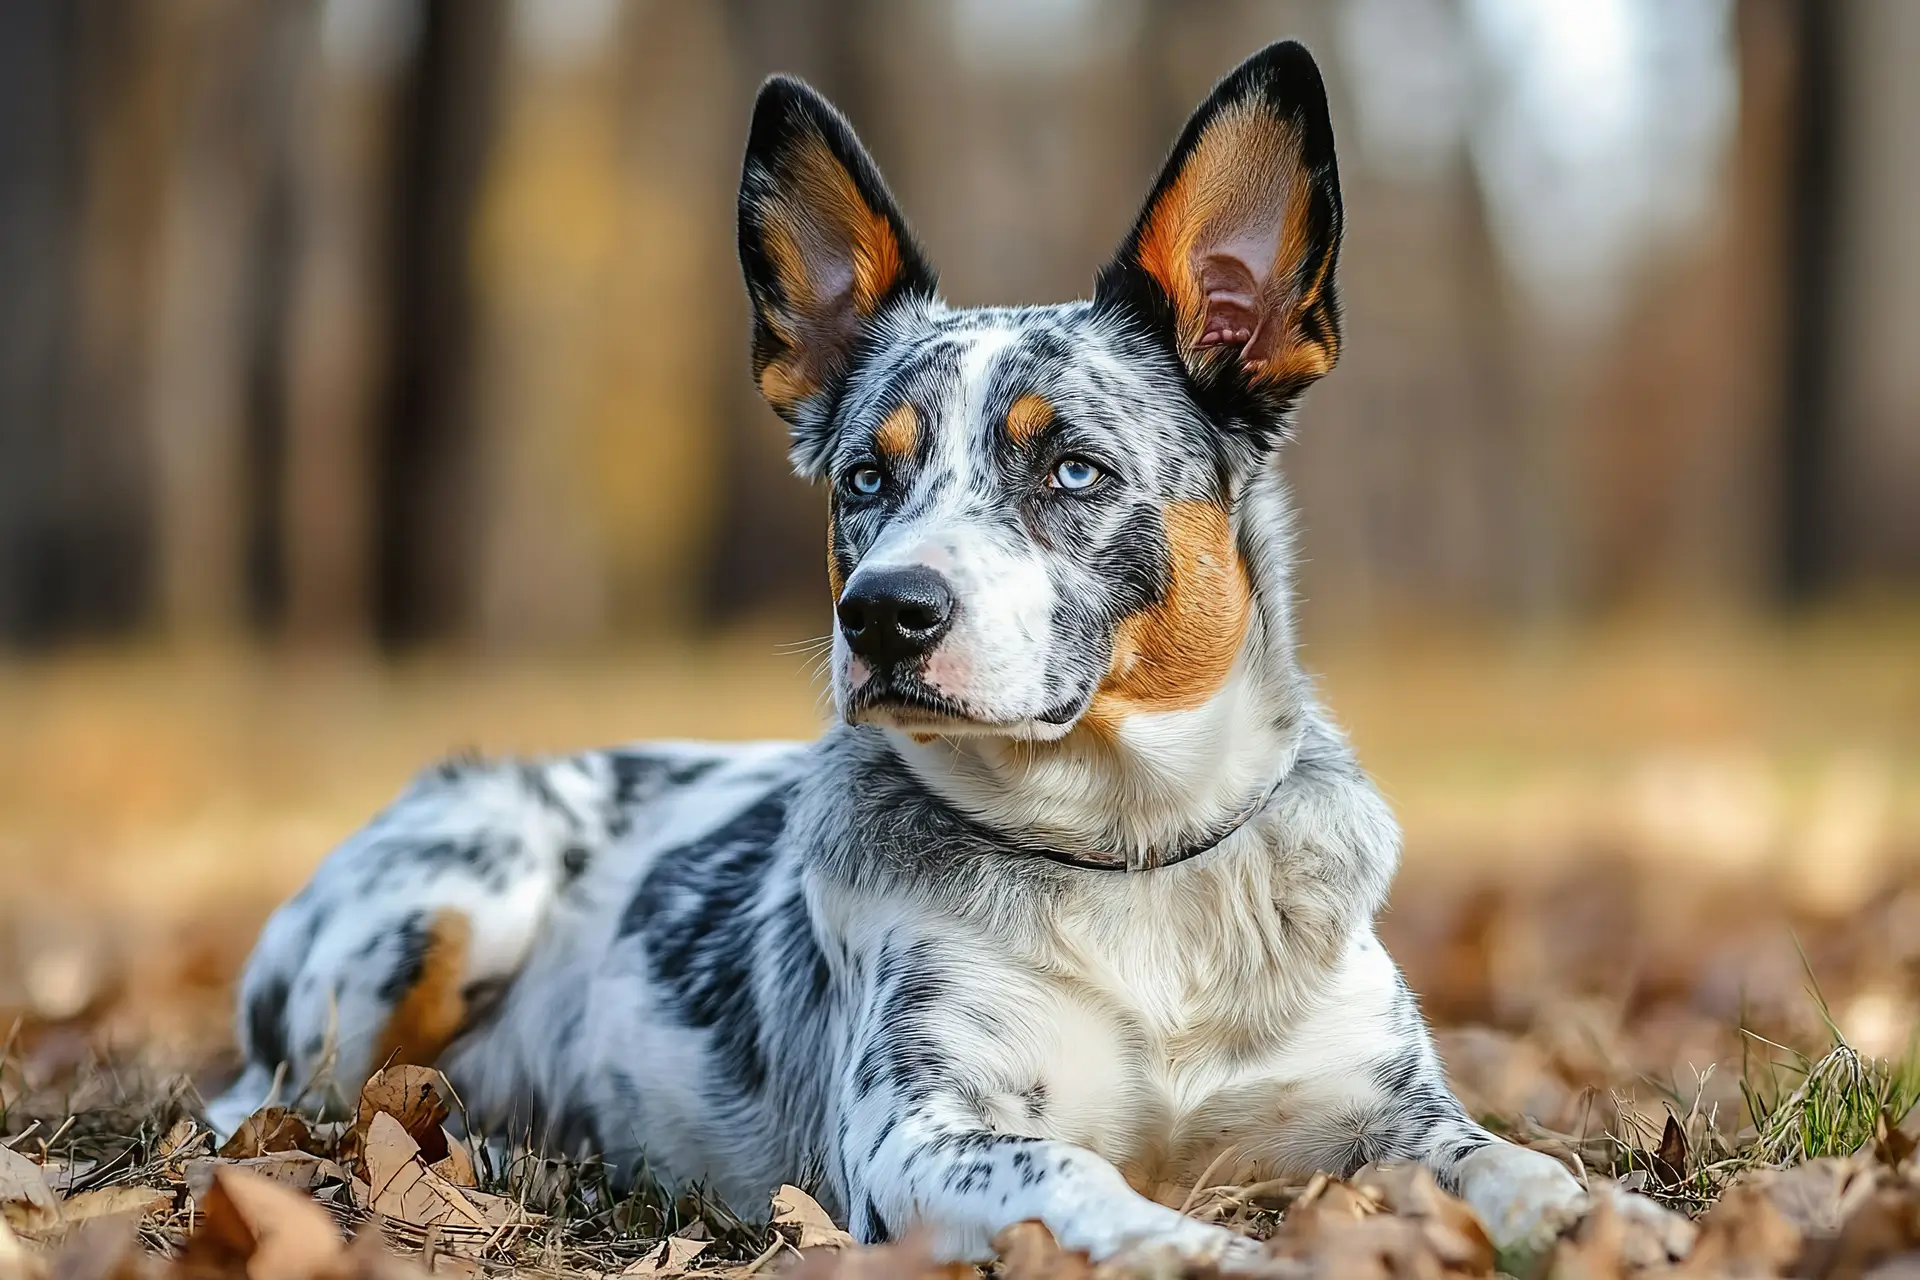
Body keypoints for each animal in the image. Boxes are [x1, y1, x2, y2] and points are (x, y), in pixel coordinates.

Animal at [206, 42, 1697, 1274]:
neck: (1130, 861)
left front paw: (1609, 1216)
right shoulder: (924, 1133)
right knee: (270, 1107)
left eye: (1073, 468)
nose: (883, 614)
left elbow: (1506, 1160)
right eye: (866, 479)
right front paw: (1209, 1251)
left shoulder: (1382, 1106)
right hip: (458, 897)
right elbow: (1091, 1186)